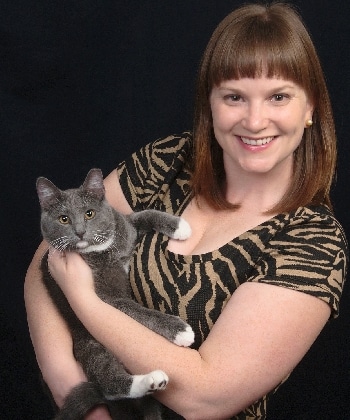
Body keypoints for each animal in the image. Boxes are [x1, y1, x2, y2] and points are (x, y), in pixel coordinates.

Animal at [36, 169, 193, 418]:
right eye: (64, 219)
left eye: (89, 214)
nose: (80, 232)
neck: (106, 251)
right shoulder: (107, 300)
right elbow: (137, 310)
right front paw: (180, 330)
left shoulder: (125, 226)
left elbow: (143, 215)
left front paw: (179, 226)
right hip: (90, 343)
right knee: (110, 385)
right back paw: (150, 380)